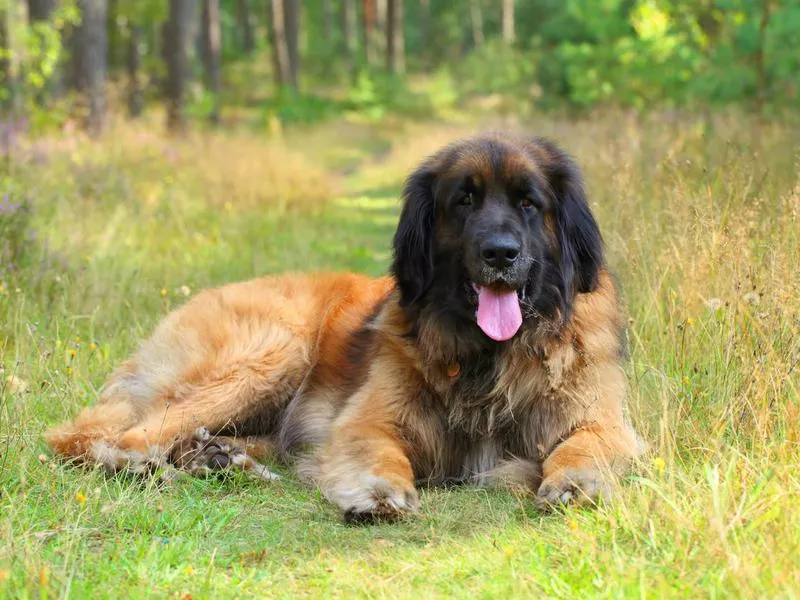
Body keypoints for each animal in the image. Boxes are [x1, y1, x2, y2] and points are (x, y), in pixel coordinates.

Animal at [47, 132, 640, 520]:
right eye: (464, 200)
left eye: (528, 202)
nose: (500, 253)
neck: (488, 356)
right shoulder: (367, 421)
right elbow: (378, 452)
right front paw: (377, 491)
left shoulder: (601, 419)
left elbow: (586, 444)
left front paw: (576, 480)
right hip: (275, 349)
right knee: (111, 439)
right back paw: (159, 468)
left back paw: (218, 459)